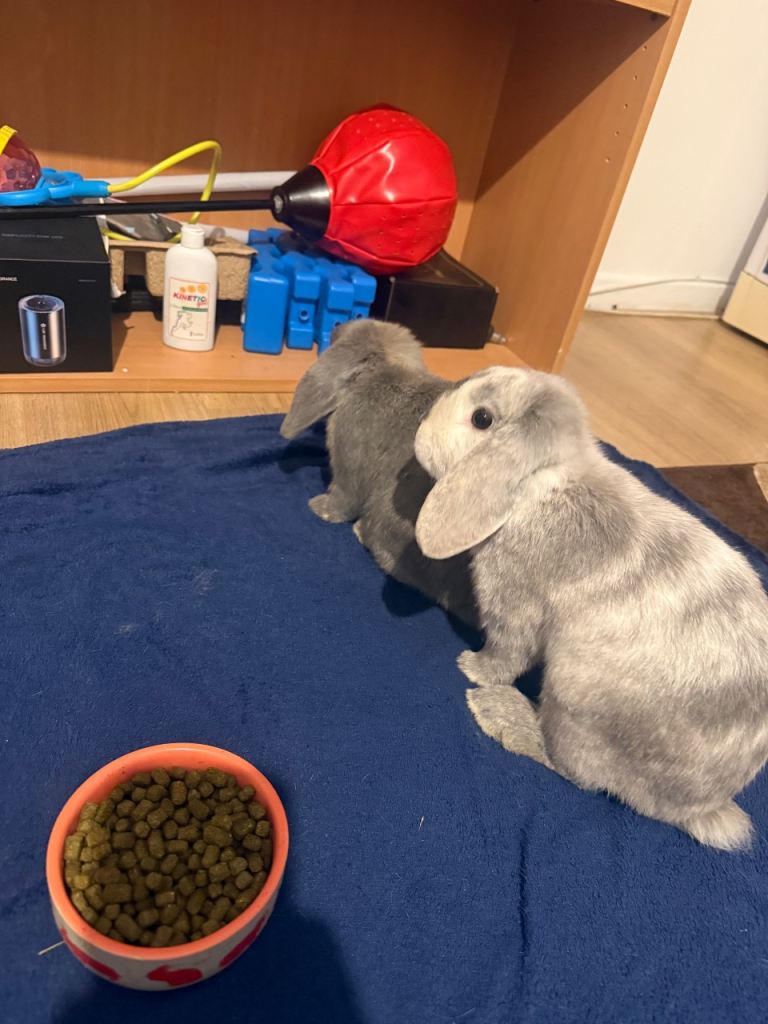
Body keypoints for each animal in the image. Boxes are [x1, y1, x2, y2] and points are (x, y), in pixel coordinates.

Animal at [280, 319, 477, 626]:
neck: (380, 373)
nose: (337, 325)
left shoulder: (347, 467)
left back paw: (361, 531)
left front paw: (318, 508)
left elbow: (343, 499)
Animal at [413, 365, 768, 850]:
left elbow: (506, 652)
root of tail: (703, 805)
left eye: (482, 419)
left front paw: (473, 667)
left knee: (572, 771)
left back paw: (498, 712)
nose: (419, 433)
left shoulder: (512, 607)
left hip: (573, 692)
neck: (537, 488)